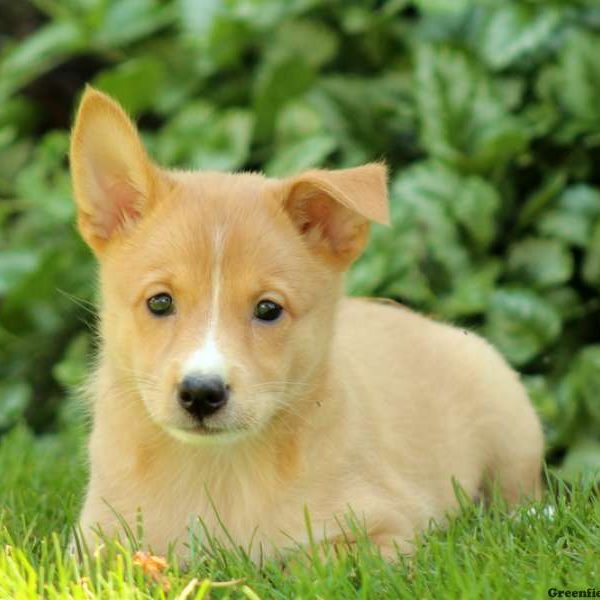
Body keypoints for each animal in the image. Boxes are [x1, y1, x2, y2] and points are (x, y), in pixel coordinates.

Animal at [70, 88, 544, 556]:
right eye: (160, 302)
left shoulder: (387, 528)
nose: (201, 394)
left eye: (268, 309)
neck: (218, 468)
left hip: (510, 424)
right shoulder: (94, 538)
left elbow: (302, 560)